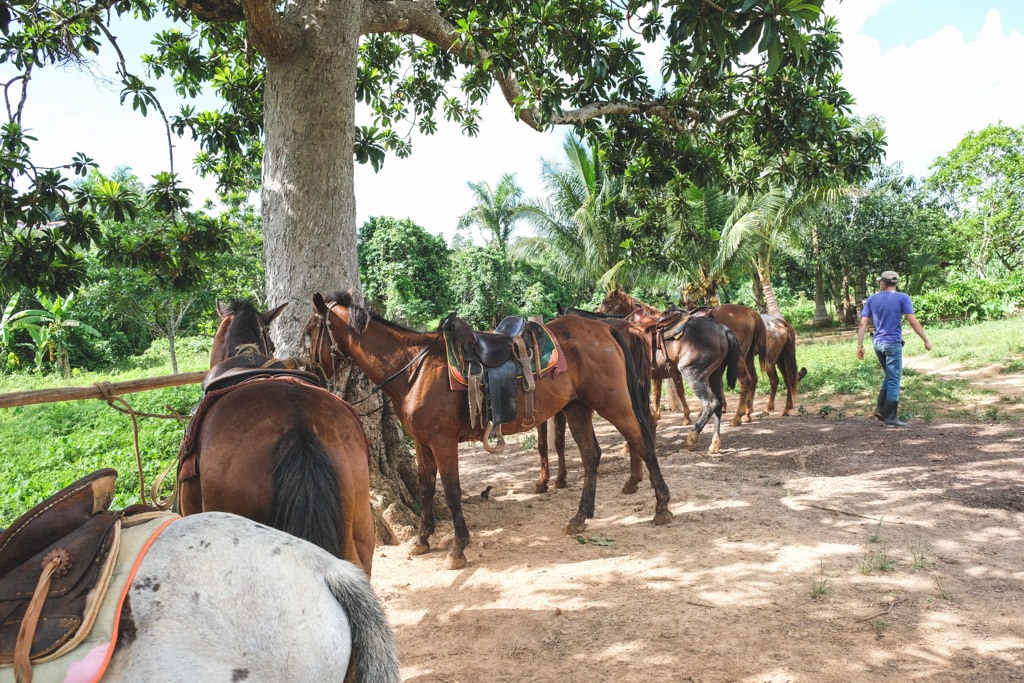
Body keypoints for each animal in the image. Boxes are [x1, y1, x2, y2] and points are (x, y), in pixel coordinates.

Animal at [303, 290, 671, 569]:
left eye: (308, 332)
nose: (308, 371)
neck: (414, 370)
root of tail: (607, 329)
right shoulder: (422, 444)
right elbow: (425, 489)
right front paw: (422, 540)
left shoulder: (443, 442)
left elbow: (452, 492)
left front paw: (458, 548)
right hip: (577, 408)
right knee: (592, 455)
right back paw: (580, 517)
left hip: (613, 402)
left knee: (642, 442)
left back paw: (662, 507)